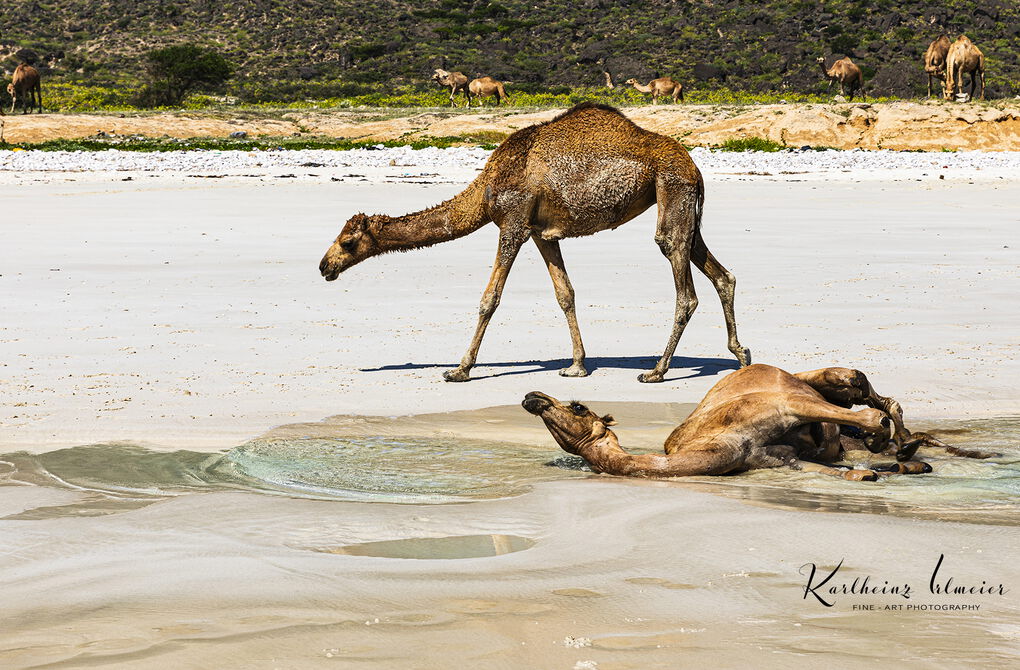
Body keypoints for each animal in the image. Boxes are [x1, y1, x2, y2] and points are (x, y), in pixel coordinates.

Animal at [318, 100, 750, 381]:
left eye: (347, 242)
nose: (324, 266)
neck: (486, 189)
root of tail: (694, 166)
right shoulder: (542, 233)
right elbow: (565, 294)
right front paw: (576, 366)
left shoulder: (512, 223)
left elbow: (490, 299)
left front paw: (459, 369)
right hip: (686, 205)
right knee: (720, 273)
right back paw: (741, 354)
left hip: (672, 189)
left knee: (680, 277)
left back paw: (657, 371)